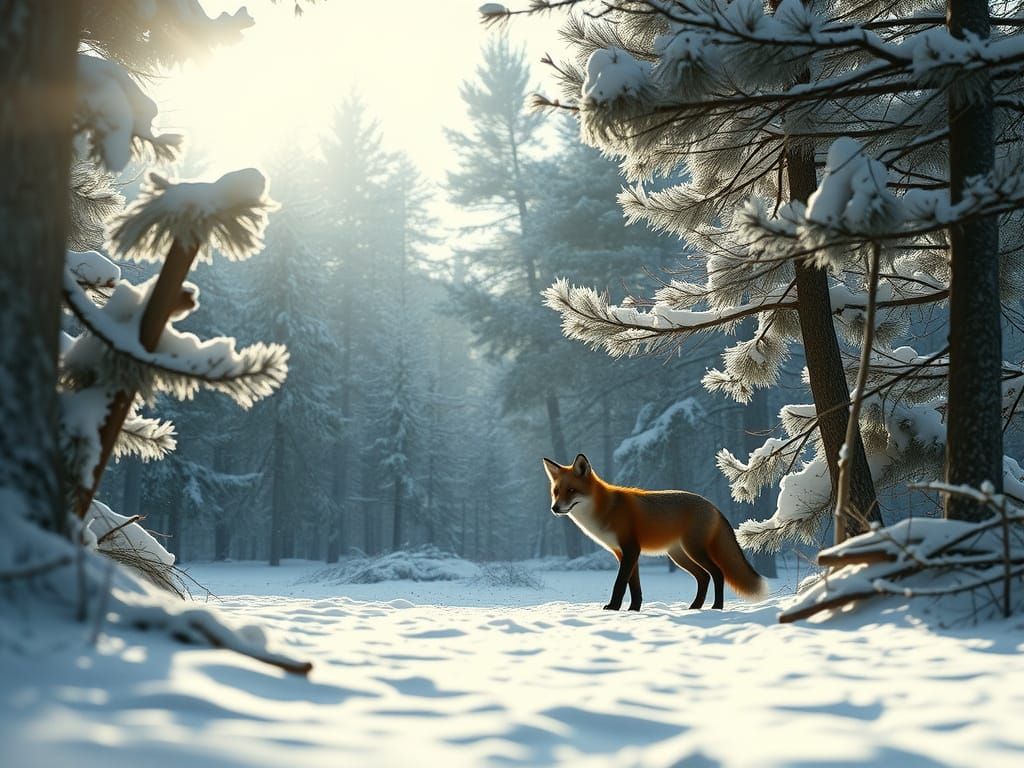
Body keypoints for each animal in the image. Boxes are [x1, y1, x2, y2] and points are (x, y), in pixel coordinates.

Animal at [543, 454, 767, 611]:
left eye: (572, 491)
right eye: (556, 492)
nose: (555, 508)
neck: (606, 509)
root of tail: (712, 505)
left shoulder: (631, 549)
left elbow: (619, 584)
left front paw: (614, 608)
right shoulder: (623, 553)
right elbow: (634, 587)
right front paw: (634, 610)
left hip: (694, 550)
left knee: (718, 573)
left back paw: (716, 607)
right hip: (679, 555)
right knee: (703, 577)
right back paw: (695, 607)